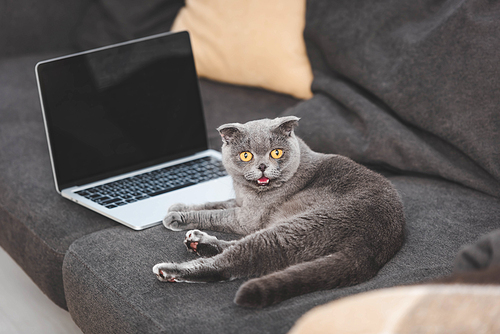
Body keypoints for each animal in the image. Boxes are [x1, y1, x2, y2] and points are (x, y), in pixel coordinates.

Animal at [150, 115, 404, 308]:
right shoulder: (242, 203)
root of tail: (373, 246)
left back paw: (170, 269)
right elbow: (217, 203)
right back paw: (199, 242)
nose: (262, 166)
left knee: (232, 263)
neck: (249, 191)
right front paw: (178, 207)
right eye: (246, 155)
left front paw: (176, 216)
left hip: (294, 230)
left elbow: (215, 215)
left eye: (276, 153)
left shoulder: (248, 218)